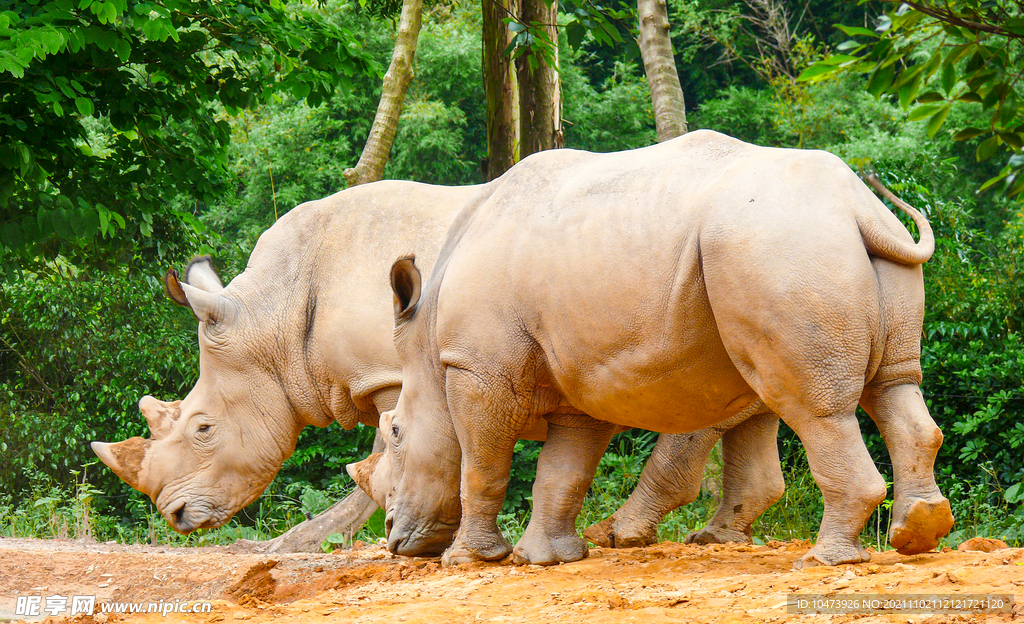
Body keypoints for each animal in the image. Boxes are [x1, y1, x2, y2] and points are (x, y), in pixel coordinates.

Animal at [92, 179, 778, 549]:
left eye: (202, 428)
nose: (174, 516)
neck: (273, 320)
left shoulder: (387, 371)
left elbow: (380, 459)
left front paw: (310, 542)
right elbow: (384, 460)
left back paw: (622, 533)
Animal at [354, 129, 958, 565]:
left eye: (397, 433)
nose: (395, 540)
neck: (428, 336)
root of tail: (857, 207)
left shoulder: (478, 368)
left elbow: (482, 461)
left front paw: (470, 560)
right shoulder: (578, 373)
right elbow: (565, 469)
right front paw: (547, 559)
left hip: (778, 248)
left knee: (813, 406)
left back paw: (827, 561)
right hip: (819, 249)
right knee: (893, 385)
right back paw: (918, 534)